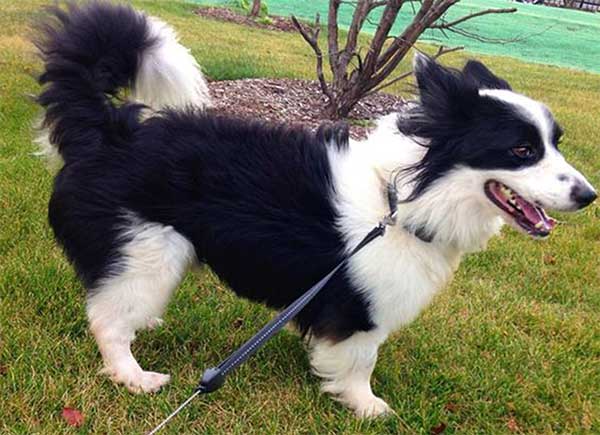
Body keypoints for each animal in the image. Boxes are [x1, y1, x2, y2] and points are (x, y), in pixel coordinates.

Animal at [36, 1, 596, 420]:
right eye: (522, 151)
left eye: (555, 143)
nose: (588, 196)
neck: (399, 202)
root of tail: (107, 131)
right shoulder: (361, 309)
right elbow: (360, 361)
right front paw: (367, 406)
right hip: (151, 248)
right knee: (106, 320)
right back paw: (133, 376)